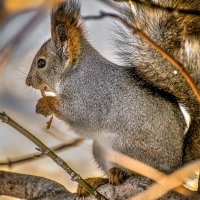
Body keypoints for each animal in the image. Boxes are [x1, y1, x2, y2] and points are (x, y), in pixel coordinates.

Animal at [26, 0, 198, 197]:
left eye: (41, 63)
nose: (27, 81)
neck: (74, 72)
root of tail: (175, 170)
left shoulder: (90, 97)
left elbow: (79, 116)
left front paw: (45, 103)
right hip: (101, 149)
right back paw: (97, 180)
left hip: (124, 149)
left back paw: (120, 173)